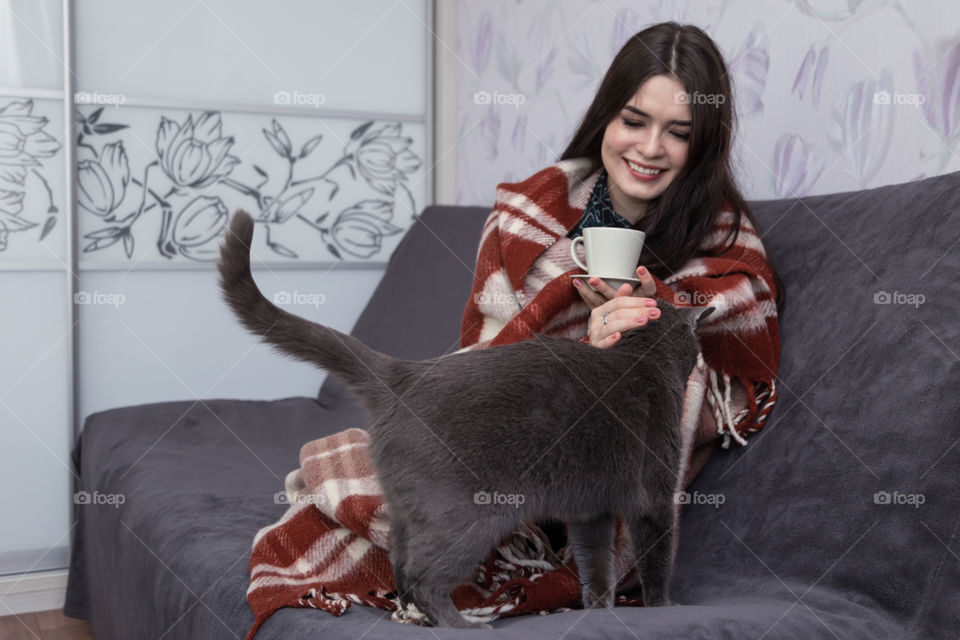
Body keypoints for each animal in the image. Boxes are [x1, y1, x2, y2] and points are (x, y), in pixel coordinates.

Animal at [218, 209, 712, 624]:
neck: (643, 360)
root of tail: (408, 374)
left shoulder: (593, 509)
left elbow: (596, 565)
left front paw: (598, 607)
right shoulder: (653, 497)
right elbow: (656, 558)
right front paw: (661, 607)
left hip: (408, 507)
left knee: (402, 565)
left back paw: (418, 617)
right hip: (469, 514)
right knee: (423, 574)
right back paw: (461, 625)